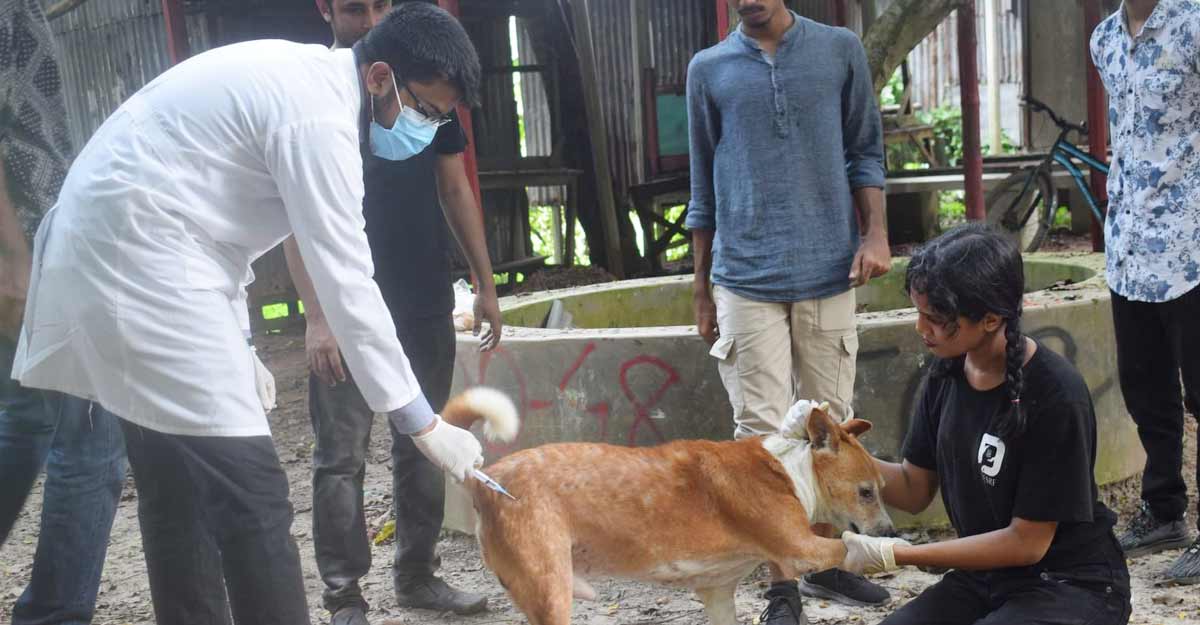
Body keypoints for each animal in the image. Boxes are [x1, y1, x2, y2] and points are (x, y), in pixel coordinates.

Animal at [446, 386, 897, 619]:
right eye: (865, 492)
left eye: (881, 487)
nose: (891, 530)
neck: (790, 467)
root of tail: (487, 477)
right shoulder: (801, 548)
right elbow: (843, 547)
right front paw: (882, 549)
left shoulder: (718, 591)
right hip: (550, 591)